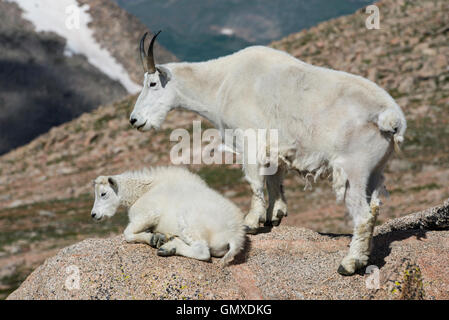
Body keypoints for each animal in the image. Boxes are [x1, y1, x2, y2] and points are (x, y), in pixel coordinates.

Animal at [130, 31, 406, 276]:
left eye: (152, 84)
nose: (135, 120)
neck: (220, 83)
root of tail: (391, 117)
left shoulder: (249, 139)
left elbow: (255, 181)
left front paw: (252, 221)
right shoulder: (276, 148)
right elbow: (275, 180)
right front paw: (274, 216)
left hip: (353, 169)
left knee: (363, 216)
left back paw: (349, 264)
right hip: (374, 170)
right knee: (374, 209)